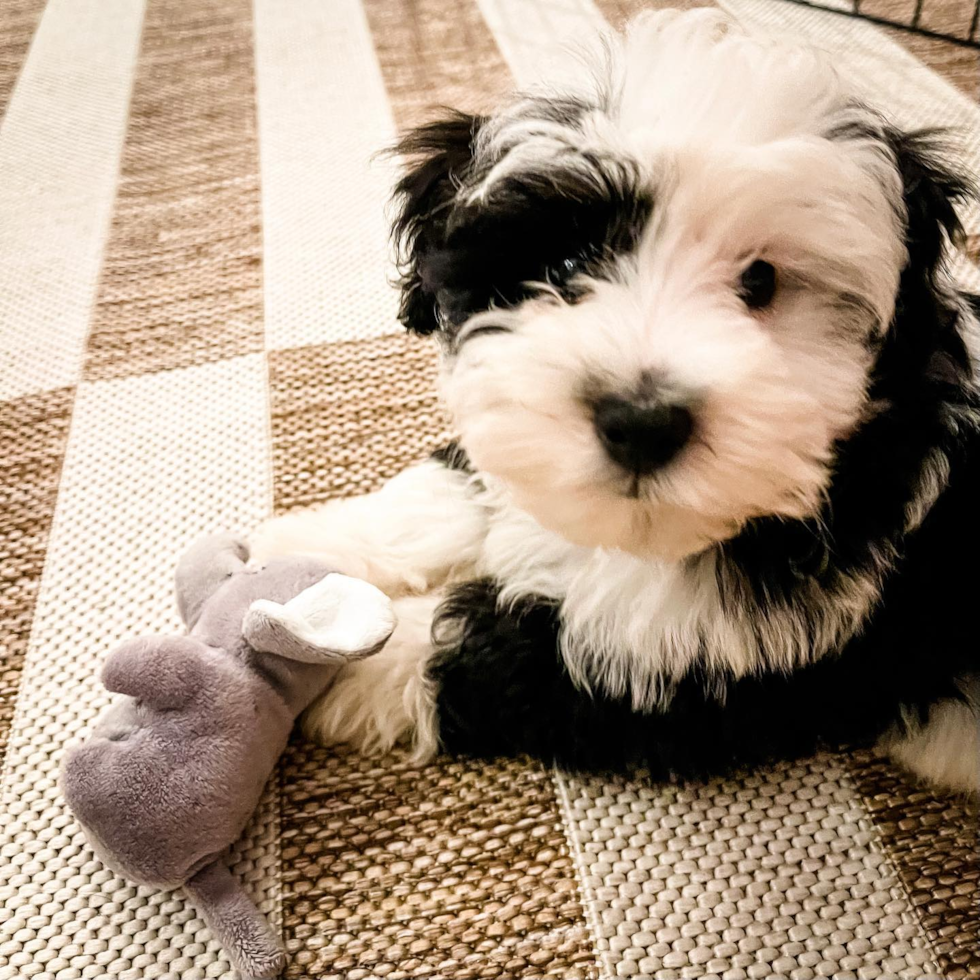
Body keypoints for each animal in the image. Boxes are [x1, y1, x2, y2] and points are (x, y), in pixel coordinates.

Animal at [251, 11, 980, 792]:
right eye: (569, 263)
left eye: (760, 282)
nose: (641, 424)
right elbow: (458, 488)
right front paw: (299, 551)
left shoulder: (711, 666)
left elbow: (490, 657)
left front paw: (327, 652)